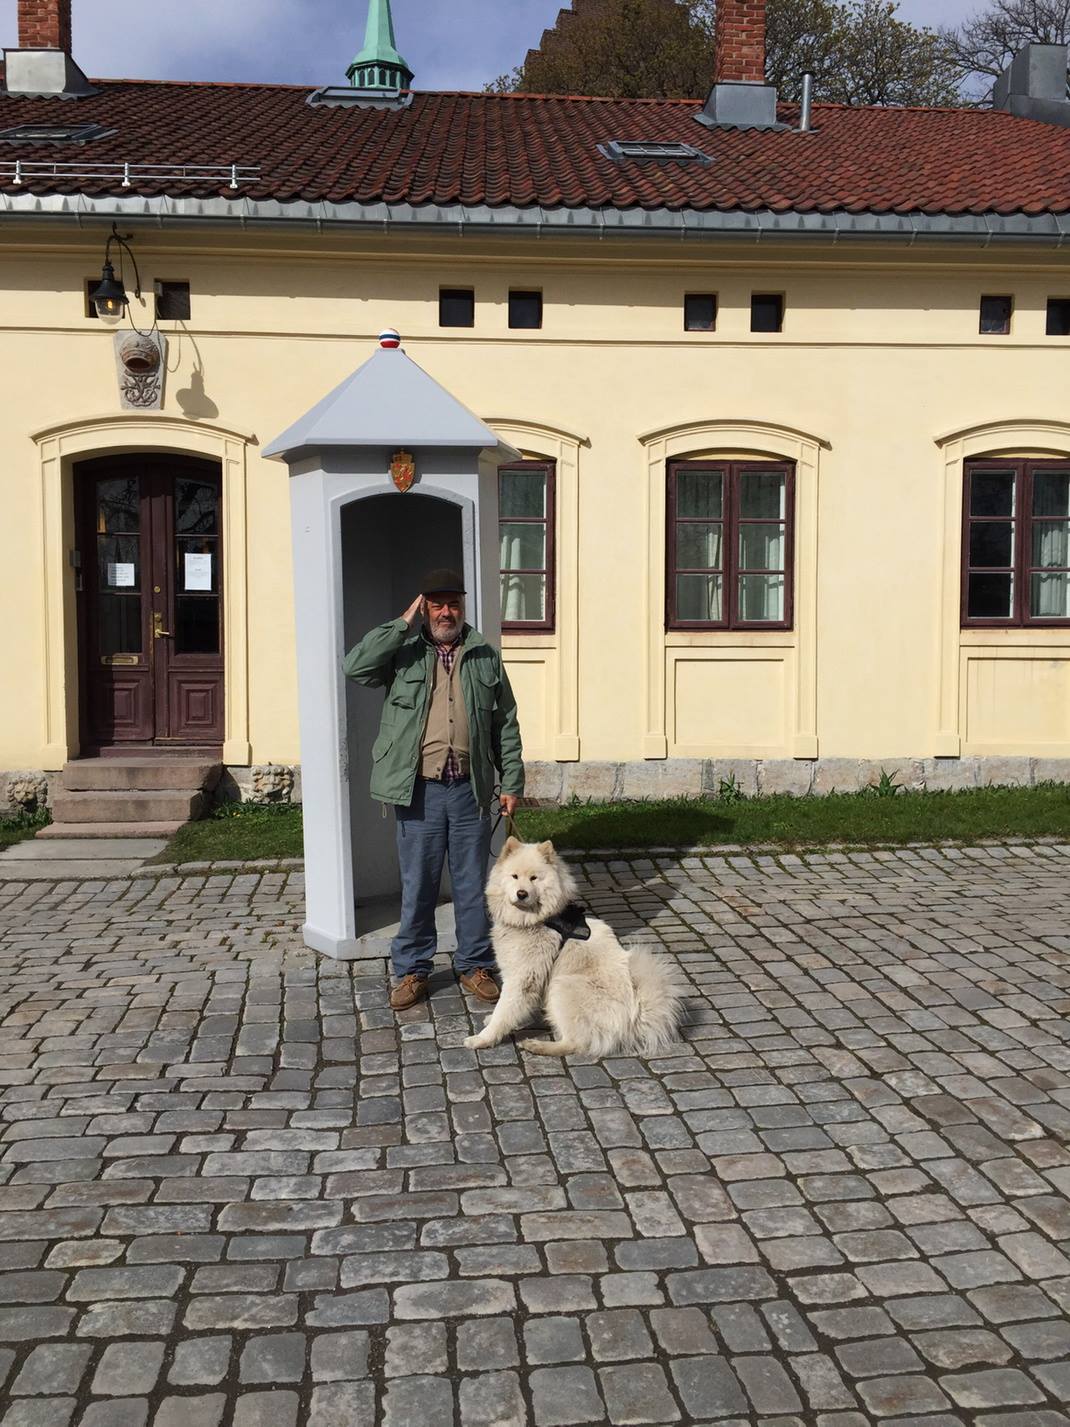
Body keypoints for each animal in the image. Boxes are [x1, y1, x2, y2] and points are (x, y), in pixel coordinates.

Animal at [464, 837, 686, 1058]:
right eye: (514, 876)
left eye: (534, 878)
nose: (522, 893)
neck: (537, 920)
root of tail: (635, 1017)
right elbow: (507, 1008)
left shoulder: (522, 978)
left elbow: (504, 1010)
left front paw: (482, 1038)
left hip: (562, 986)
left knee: (576, 1043)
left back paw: (538, 1046)